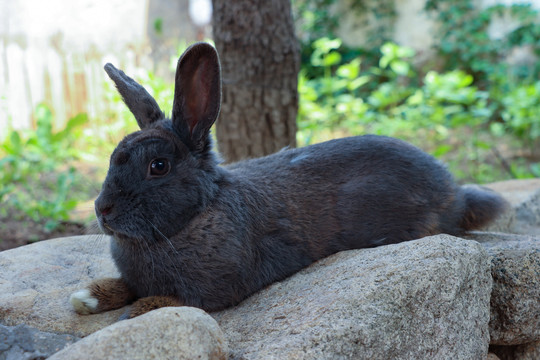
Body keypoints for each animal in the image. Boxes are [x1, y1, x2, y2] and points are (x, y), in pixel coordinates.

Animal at [70, 41, 506, 318]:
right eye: (113, 157)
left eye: (158, 166)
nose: (102, 210)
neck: (194, 217)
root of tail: (455, 193)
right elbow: (124, 285)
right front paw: (86, 297)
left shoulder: (220, 286)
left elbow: (177, 300)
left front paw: (140, 309)